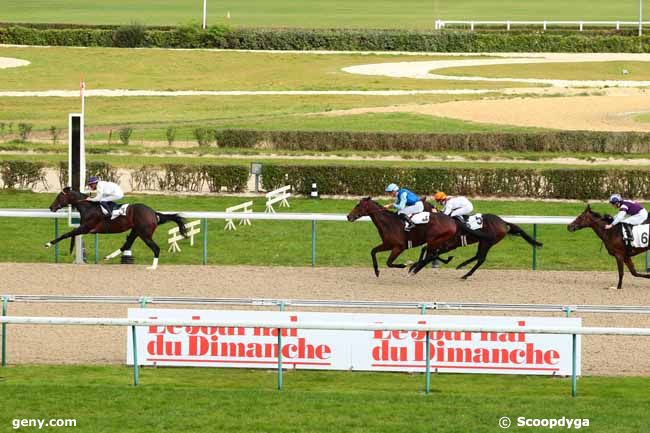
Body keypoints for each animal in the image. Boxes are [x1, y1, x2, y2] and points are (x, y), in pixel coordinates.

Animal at [45, 187, 187, 268]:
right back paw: (108, 257)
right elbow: (71, 234)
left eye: (59, 196)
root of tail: (154, 213)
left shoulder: (86, 227)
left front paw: (48, 244)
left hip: (144, 234)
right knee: (127, 244)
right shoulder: (83, 228)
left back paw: (153, 267)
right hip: (136, 231)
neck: (88, 206)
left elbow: (67, 234)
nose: (51, 207)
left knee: (156, 248)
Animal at [410, 214, 540, 278]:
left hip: (487, 242)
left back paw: (466, 275)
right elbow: (427, 252)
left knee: (481, 258)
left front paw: (414, 268)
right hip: (483, 241)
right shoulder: (440, 245)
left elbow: (431, 255)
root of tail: (503, 222)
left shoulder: (448, 245)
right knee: (478, 256)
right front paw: (413, 266)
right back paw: (462, 265)